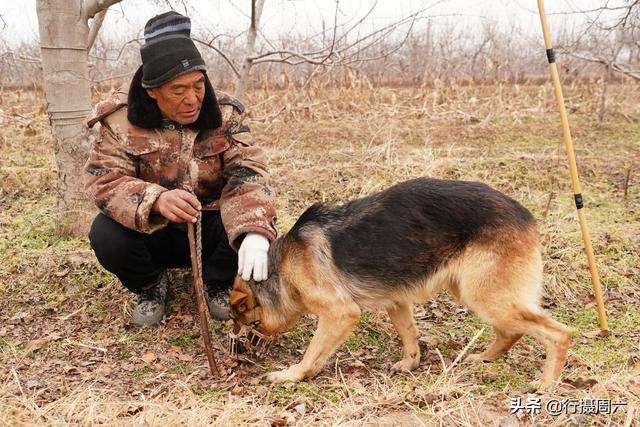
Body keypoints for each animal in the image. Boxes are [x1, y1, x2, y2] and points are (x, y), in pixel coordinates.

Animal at [228, 179, 572, 386]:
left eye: (245, 322)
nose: (236, 355)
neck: (280, 265)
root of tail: (526, 215)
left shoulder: (340, 314)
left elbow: (313, 352)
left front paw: (293, 374)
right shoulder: (397, 302)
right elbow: (409, 334)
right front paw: (410, 363)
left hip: (486, 297)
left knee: (559, 333)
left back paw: (547, 383)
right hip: (474, 293)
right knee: (512, 330)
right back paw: (485, 358)